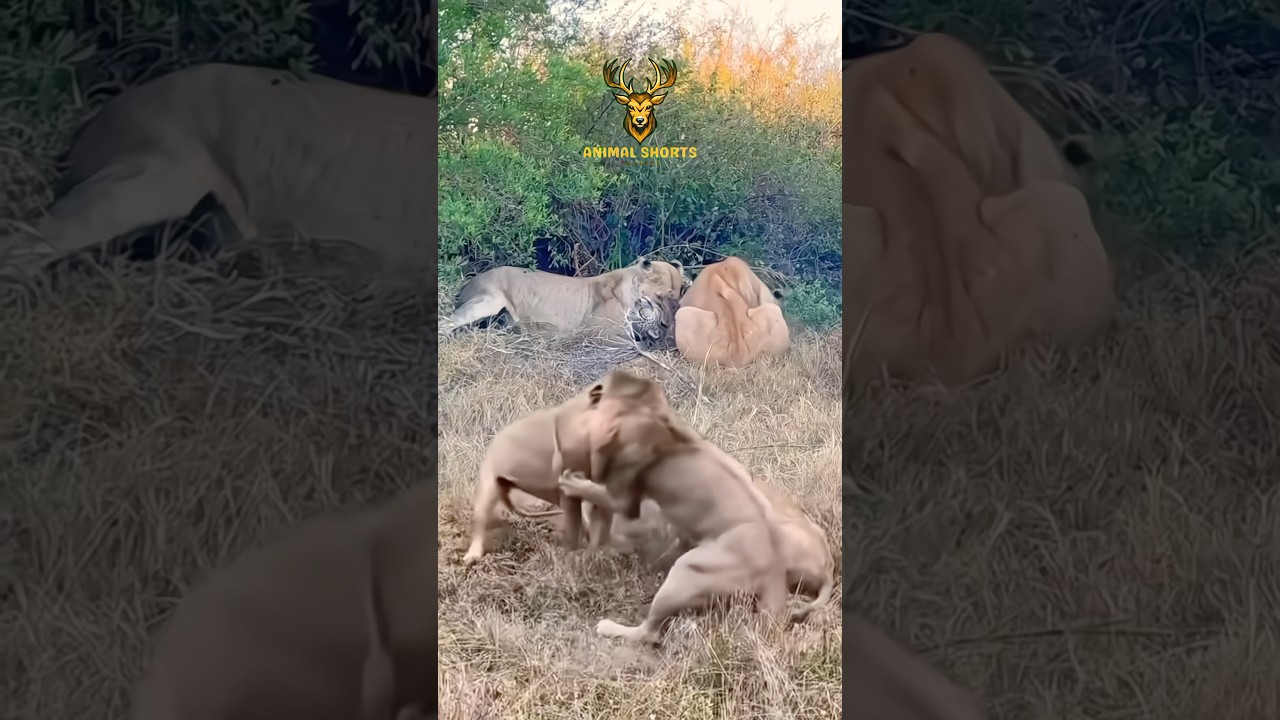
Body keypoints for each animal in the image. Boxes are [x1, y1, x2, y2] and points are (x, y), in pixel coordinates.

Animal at [442, 256, 686, 344]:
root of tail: (468, 283)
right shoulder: (606, 336)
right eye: (660, 297)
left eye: (676, 302)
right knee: (445, 322)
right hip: (488, 302)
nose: (665, 324)